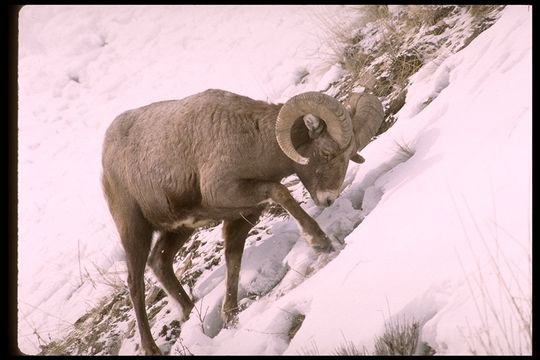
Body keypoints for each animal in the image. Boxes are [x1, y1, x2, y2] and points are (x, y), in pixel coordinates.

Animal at [99, 88, 382, 352]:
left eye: (349, 156)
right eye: (326, 153)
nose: (328, 199)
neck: (252, 138)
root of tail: (105, 152)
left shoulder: (243, 215)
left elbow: (233, 261)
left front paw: (230, 317)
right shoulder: (225, 191)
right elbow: (280, 191)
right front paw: (320, 241)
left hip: (179, 230)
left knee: (160, 261)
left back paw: (191, 313)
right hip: (134, 230)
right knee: (135, 284)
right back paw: (152, 348)